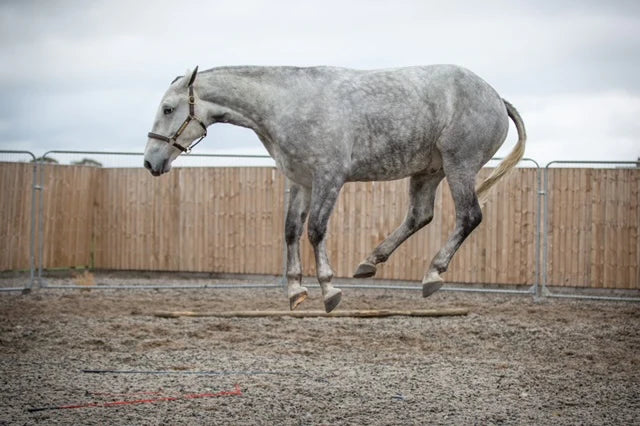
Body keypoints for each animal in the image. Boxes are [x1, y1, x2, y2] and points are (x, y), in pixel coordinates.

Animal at [144, 65, 526, 313]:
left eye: (168, 108)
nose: (150, 162)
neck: (288, 104)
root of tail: (496, 97)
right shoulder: (300, 181)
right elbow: (290, 230)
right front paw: (295, 290)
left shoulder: (329, 177)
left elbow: (315, 230)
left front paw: (328, 289)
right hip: (427, 171)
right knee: (420, 216)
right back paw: (370, 262)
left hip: (459, 165)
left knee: (469, 216)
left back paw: (433, 273)